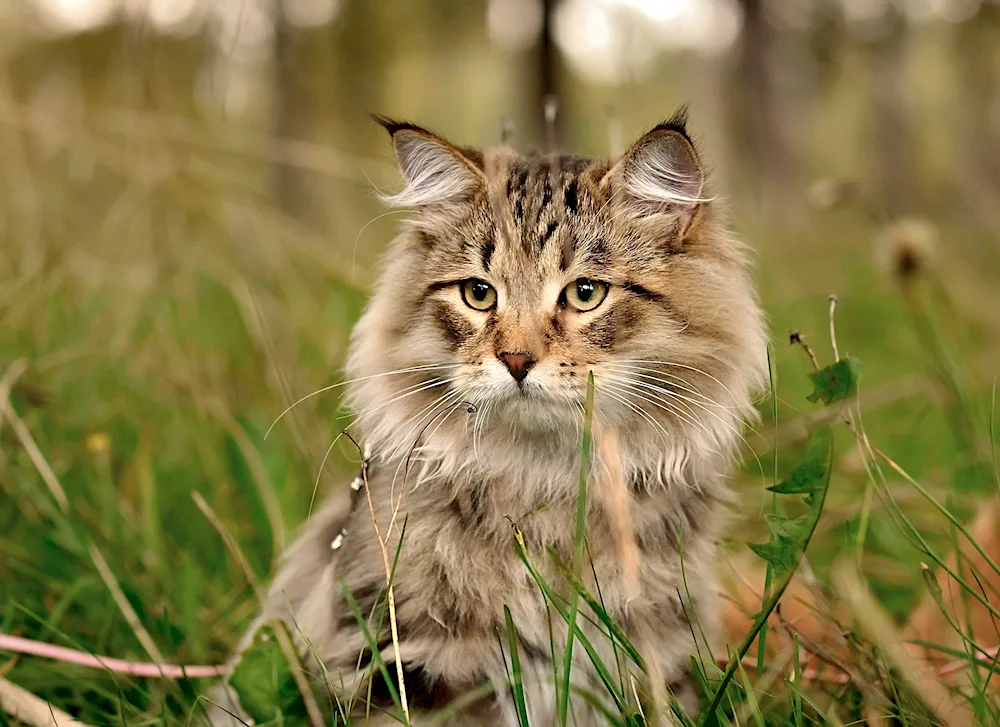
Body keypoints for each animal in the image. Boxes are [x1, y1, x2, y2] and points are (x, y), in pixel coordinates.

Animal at [209, 109, 764, 727]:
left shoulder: (655, 652)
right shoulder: (407, 658)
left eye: (585, 293)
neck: (541, 484)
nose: (516, 360)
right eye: (479, 294)